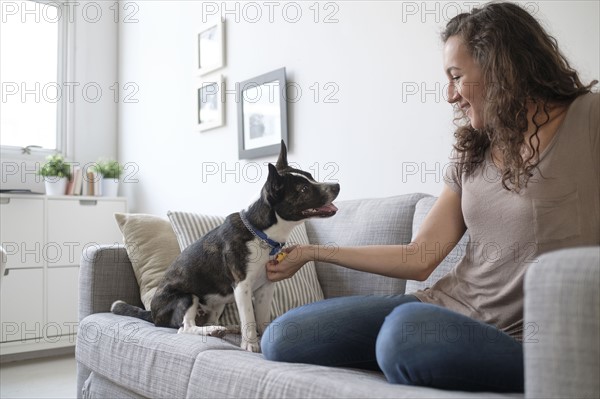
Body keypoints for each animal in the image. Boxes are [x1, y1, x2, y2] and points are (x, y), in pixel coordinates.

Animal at [110, 141, 340, 354]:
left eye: (311, 176)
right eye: (303, 189)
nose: (337, 185)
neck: (261, 233)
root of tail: (151, 312)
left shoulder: (265, 287)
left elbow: (262, 318)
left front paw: (263, 336)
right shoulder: (242, 286)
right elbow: (249, 318)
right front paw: (250, 345)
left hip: (217, 304)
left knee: (208, 320)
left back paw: (226, 328)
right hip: (186, 297)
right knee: (185, 328)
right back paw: (212, 331)